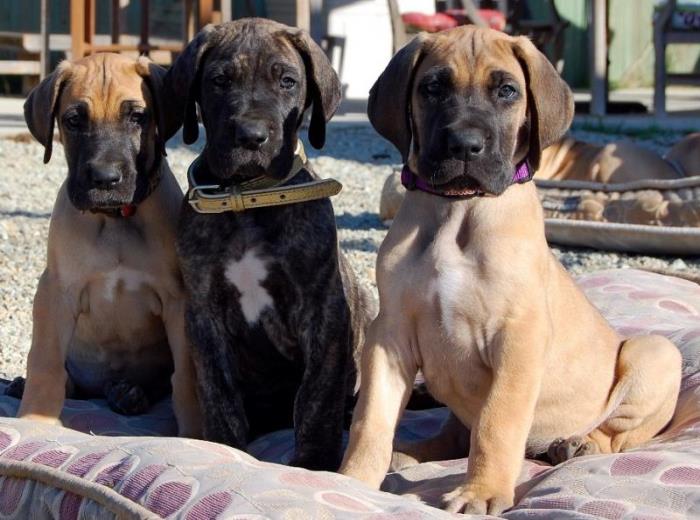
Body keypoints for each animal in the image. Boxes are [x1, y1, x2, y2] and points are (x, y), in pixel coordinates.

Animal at [13, 52, 200, 436]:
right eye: (73, 120)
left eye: (137, 117)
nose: (104, 179)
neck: (115, 219)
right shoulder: (56, 291)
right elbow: (45, 362)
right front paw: (36, 422)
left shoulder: (178, 300)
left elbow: (186, 377)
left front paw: (196, 434)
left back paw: (129, 393)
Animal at [163, 19, 372, 472]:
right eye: (220, 81)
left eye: (287, 82)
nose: (251, 136)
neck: (247, 196)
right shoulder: (203, 312)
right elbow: (219, 391)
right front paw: (225, 448)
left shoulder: (322, 308)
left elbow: (316, 396)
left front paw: (314, 461)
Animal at [342, 25, 680, 516]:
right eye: (432, 88)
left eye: (507, 91)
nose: (465, 145)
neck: (459, 210)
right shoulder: (390, 337)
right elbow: (371, 420)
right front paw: (351, 480)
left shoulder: (517, 338)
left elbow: (496, 422)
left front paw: (480, 492)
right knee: (451, 435)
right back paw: (409, 455)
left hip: (656, 353)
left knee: (617, 437)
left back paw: (578, 445)